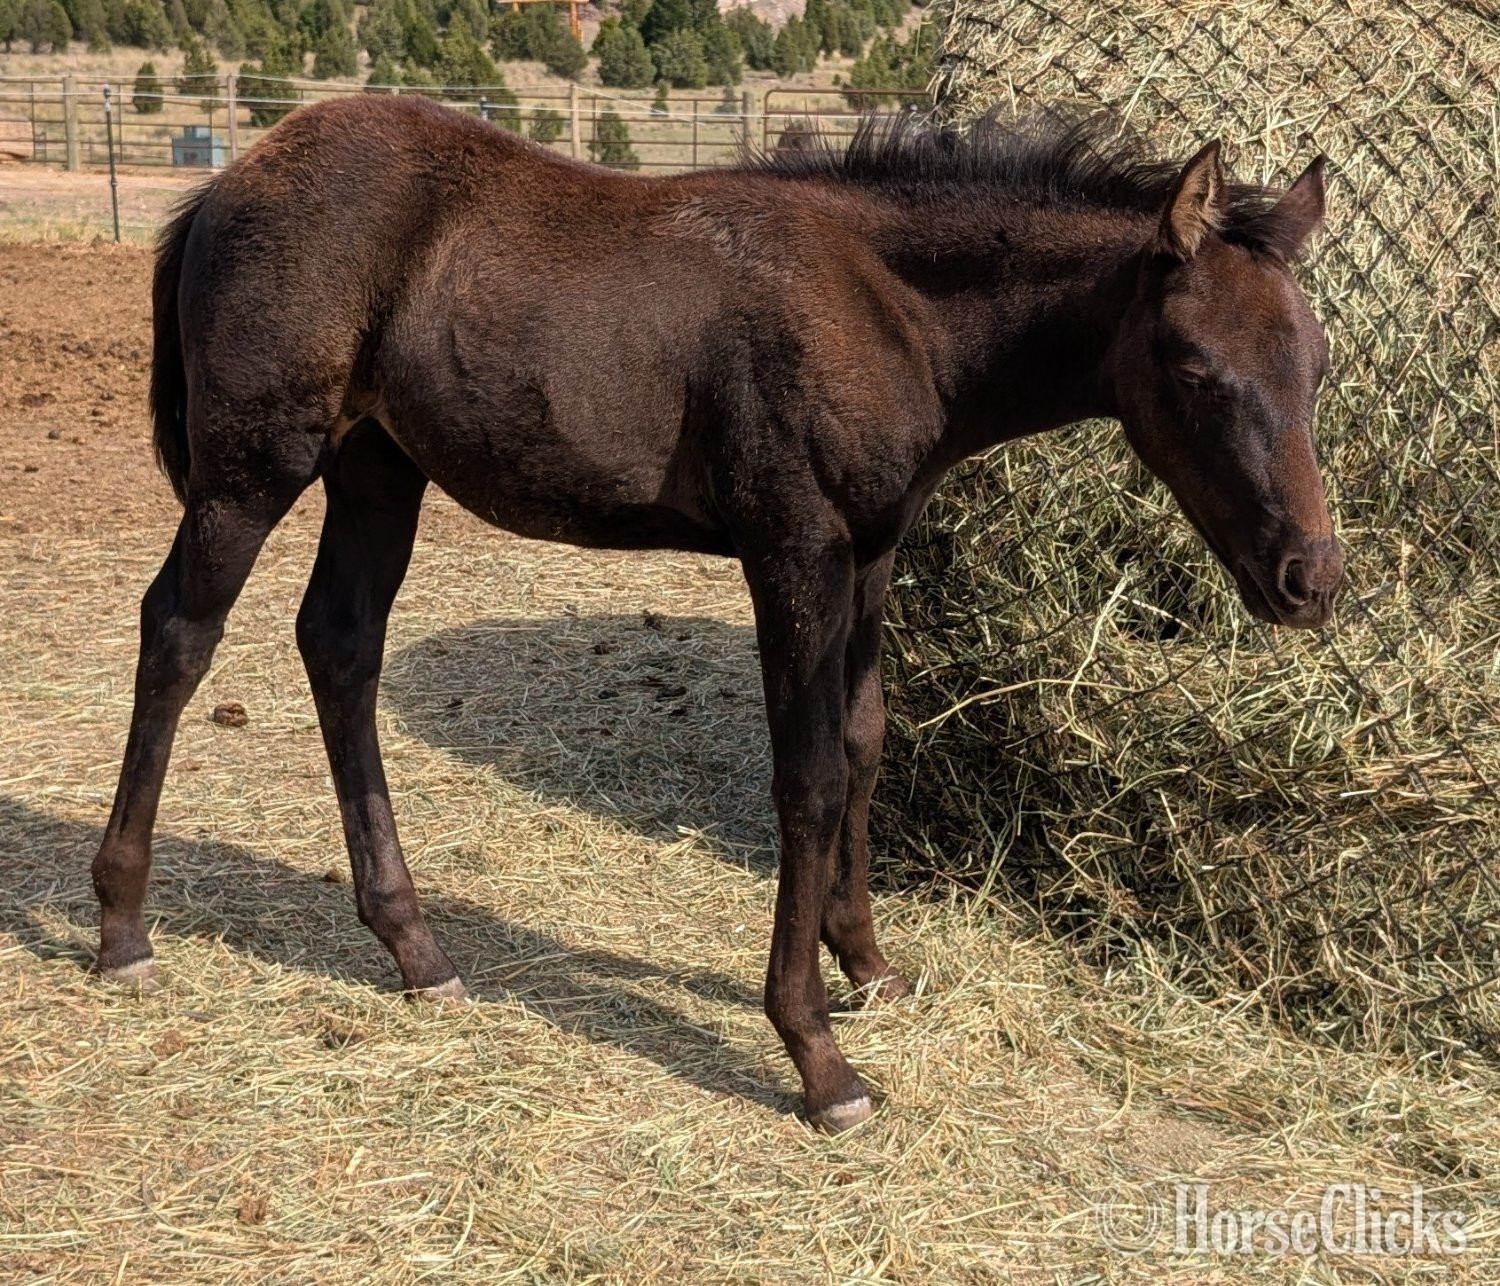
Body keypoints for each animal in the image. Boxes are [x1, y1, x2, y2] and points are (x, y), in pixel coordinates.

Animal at [91, 94, 1342, 1131]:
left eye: (1317, 363)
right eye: (1191, 365)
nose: (1311, 578)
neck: (881, 304)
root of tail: (230, 181)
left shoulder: (870, 553)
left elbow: (863, 740)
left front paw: (868, 961)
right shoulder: (792, 550)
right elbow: (809, 775)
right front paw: (818, 1053)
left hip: (376, 470)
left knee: (341, 646)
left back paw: (415, 946)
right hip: (255, 465)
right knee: (178, 634)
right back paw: (122, 927)